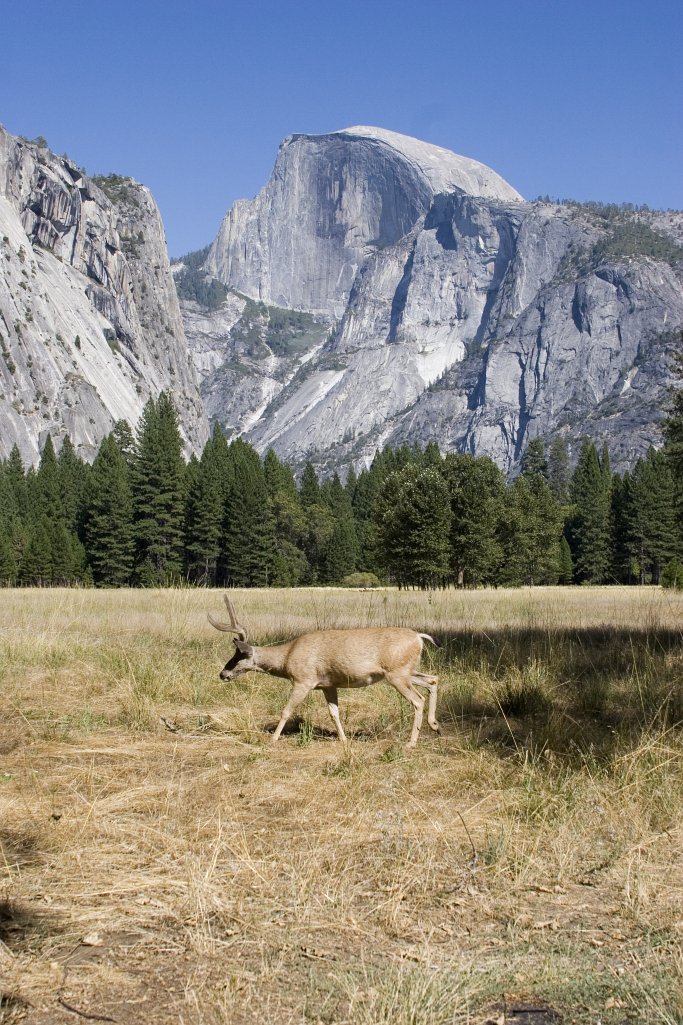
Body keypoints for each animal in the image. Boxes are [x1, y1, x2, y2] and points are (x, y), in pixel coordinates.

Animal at [207, 594, 438, 746]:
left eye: (237, 656)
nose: (222, 674)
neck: (287, 656)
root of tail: (419, 637)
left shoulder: (303, 681)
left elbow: (286, 710)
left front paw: (272, 739)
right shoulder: (328, 685)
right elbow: (334, 713)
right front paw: (344, 740)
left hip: (397, 674)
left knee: (418, 700)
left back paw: (411, 743)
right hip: (406, 671)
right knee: (433, 680)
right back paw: (435, 725)